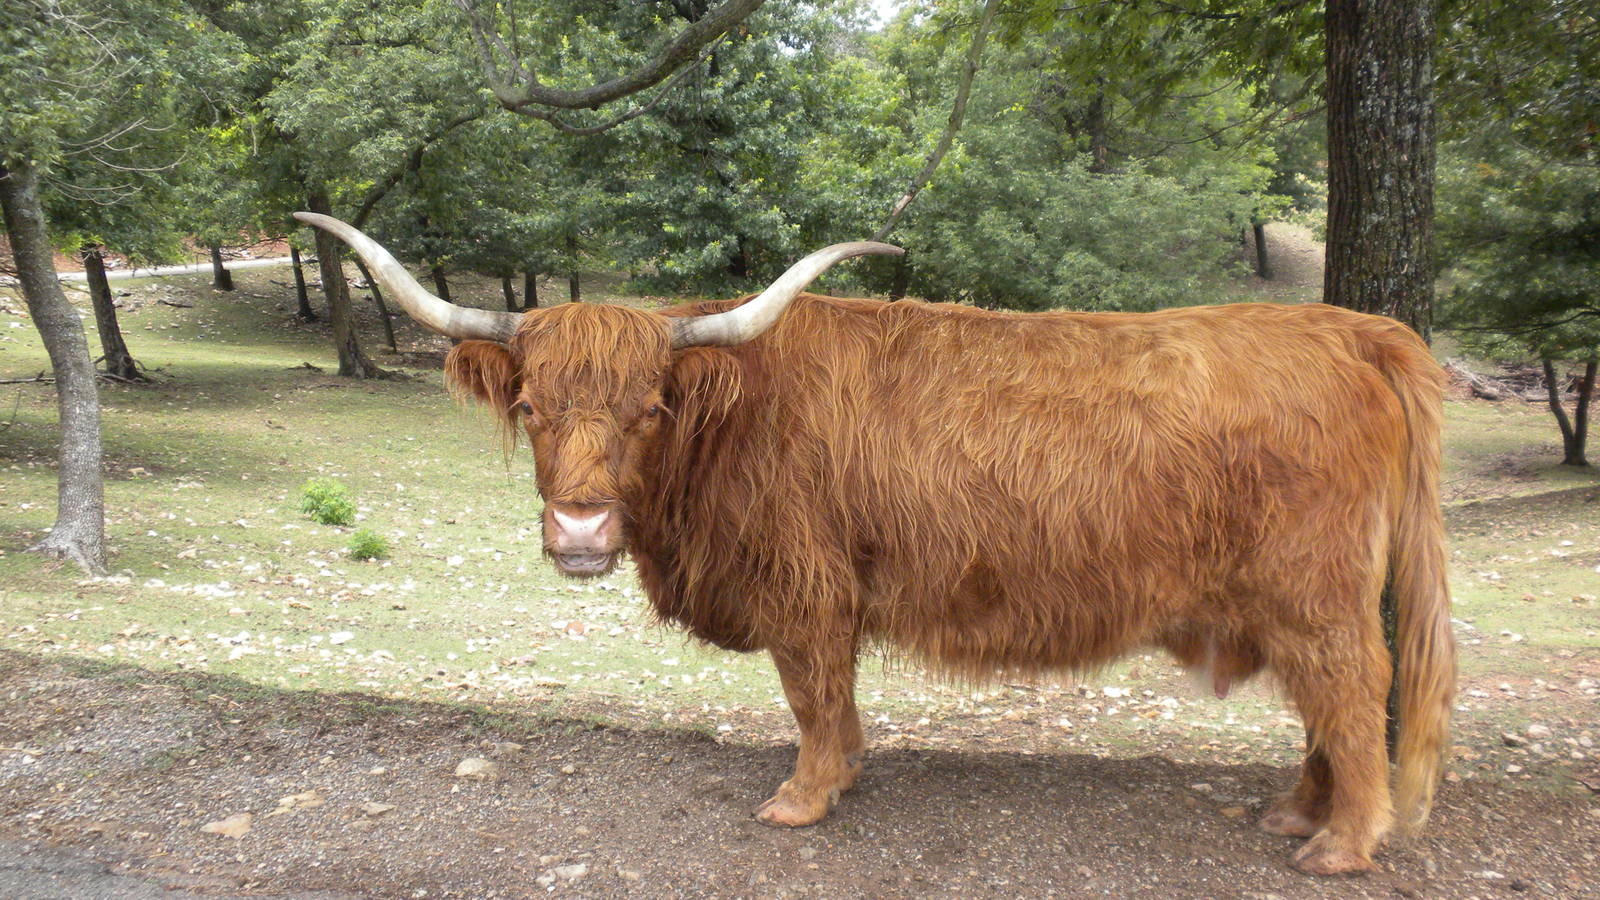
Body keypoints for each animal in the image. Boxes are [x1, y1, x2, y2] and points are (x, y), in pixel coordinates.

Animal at [295, 212, 1455, 876]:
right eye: (533, 407)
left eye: (649, 408)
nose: (579, 527)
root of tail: (1347, 328)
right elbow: (834, 699)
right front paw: (843, 775)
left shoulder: (805, 588)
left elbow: (812, 691)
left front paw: (802, 800)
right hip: (1295, 600)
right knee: (1325, 707)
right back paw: (1292, 815)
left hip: (1312, 591)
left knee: (1355, 693)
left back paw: (1340, 846)